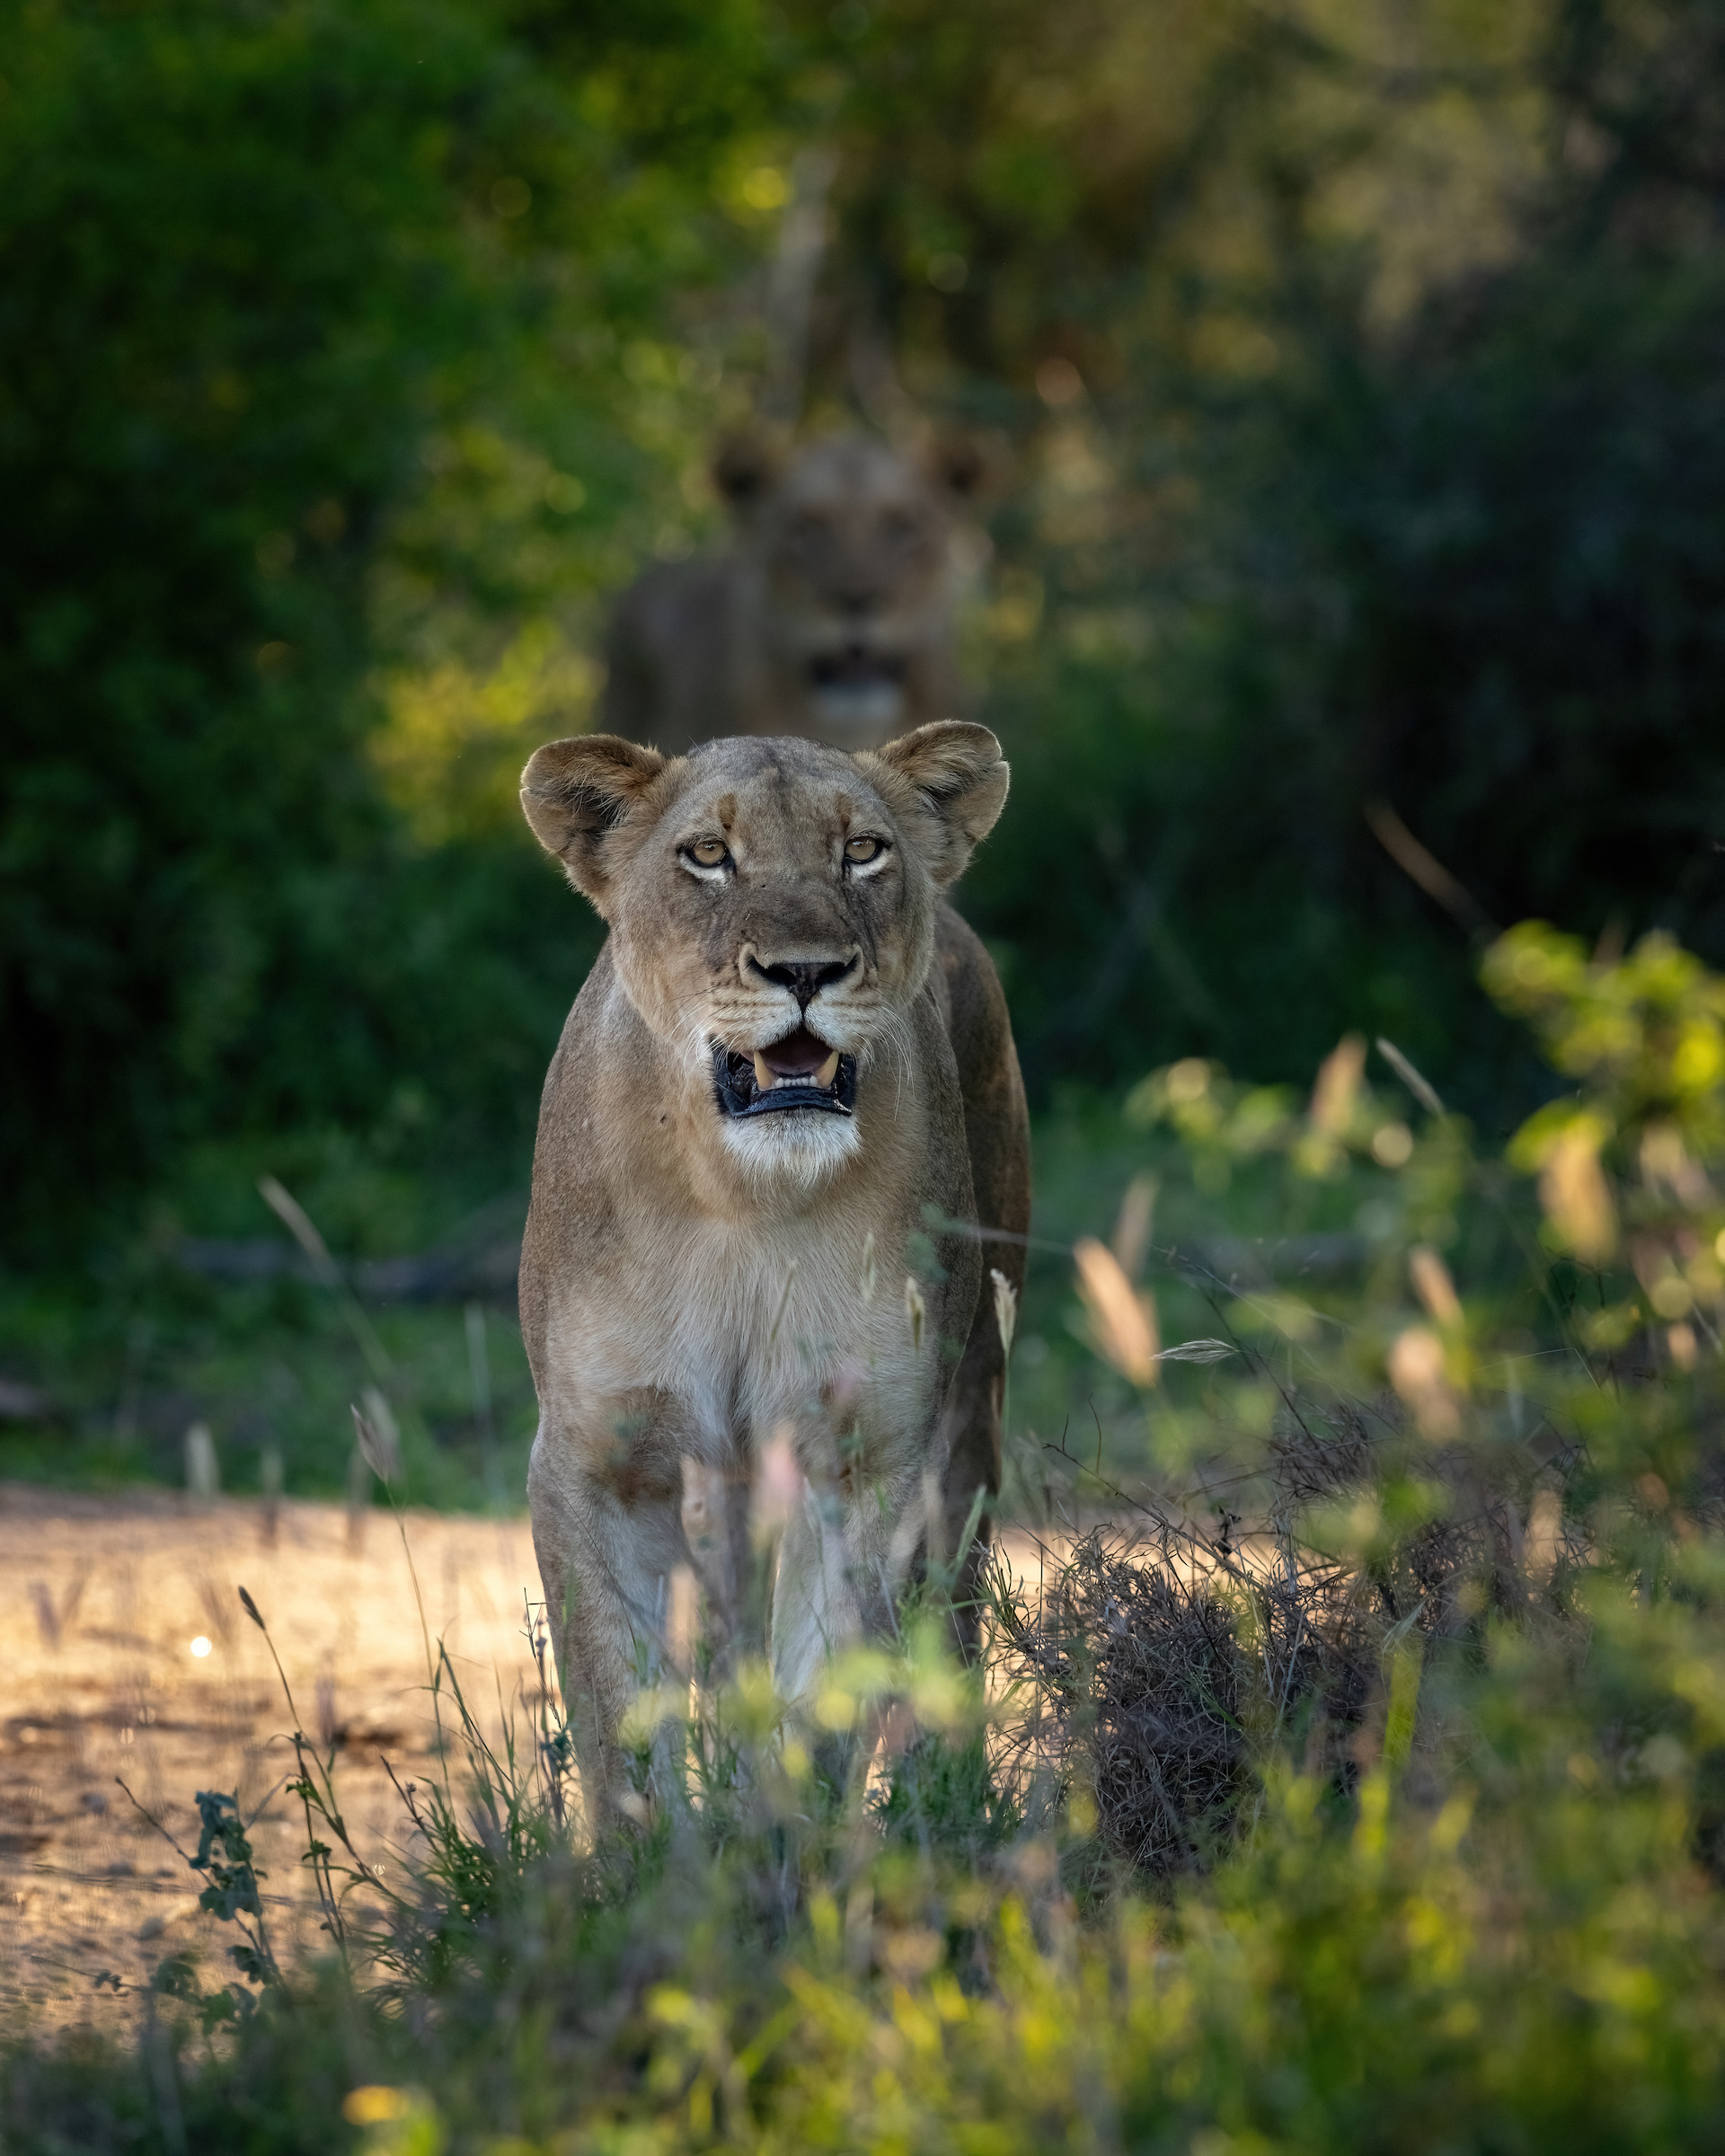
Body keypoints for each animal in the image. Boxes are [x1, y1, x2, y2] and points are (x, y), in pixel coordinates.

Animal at [517, 721, 1029, 1807]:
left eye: (863, 851)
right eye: (709, 855)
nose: (806, 971)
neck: (741, 1203)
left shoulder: (867, 1448)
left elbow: (824, 1692)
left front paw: (792, 1833)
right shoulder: (596, 1456)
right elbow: (618, 1721)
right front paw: (655, 1852)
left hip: (973, 1397)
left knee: (952, 1616)